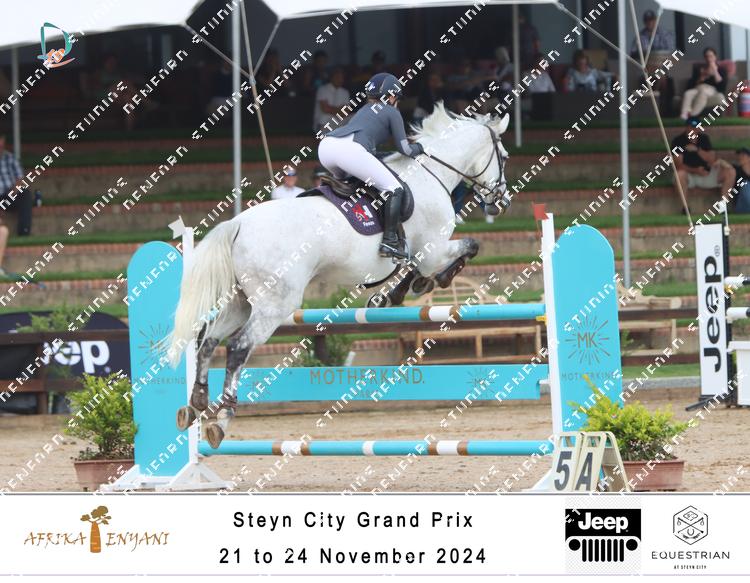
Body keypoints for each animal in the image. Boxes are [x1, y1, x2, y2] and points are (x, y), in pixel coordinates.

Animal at [167, 103, 511, 448]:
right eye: (505, 157)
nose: (502, 202)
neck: (432, 175)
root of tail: (238, 224)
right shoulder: (433, 250)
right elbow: (468, 248)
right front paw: (427, 283)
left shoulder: (424, 252)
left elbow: (413, 270)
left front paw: (389, 296)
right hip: (274, 305)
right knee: (238, 347)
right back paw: (223, 418)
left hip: (241, 301)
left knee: (208, 338)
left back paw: (196, 403)